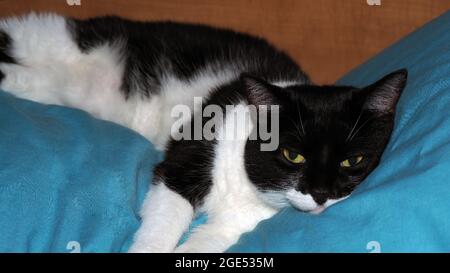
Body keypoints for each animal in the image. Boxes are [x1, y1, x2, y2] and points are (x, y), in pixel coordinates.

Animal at [0, 12, 408, 251]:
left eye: (353, 161)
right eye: (293, 155)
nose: (321, 195)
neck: (247, 187)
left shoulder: (236, 226)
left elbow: (208, 241)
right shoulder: (187, 159)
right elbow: (164, 222)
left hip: (64, 90)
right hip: (63, 39)